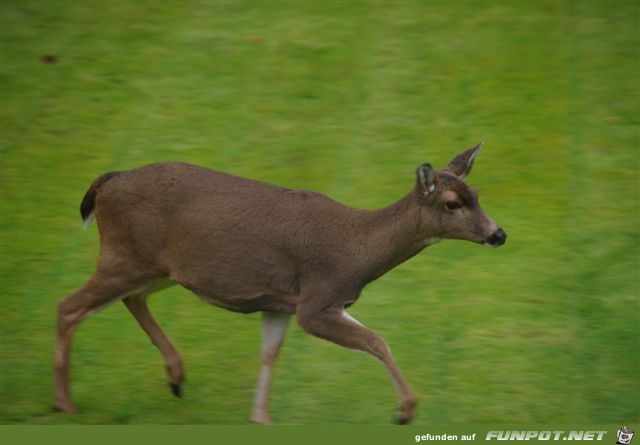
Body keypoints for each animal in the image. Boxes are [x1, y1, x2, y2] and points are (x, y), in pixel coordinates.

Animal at [53, 142, 504, 424]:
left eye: (478, 194)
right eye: (452, 204)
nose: (498, 234)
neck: (357, 249)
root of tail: (107, 181)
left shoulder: (281, 303)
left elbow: (270, 354)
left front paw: (260, 417)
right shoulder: (316, 301)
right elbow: (376, 341)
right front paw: (405, 411)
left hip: (158, 268)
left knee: (130, 300)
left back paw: (176, 378)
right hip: (125, 256)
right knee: (68, 306)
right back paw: (65, 404)